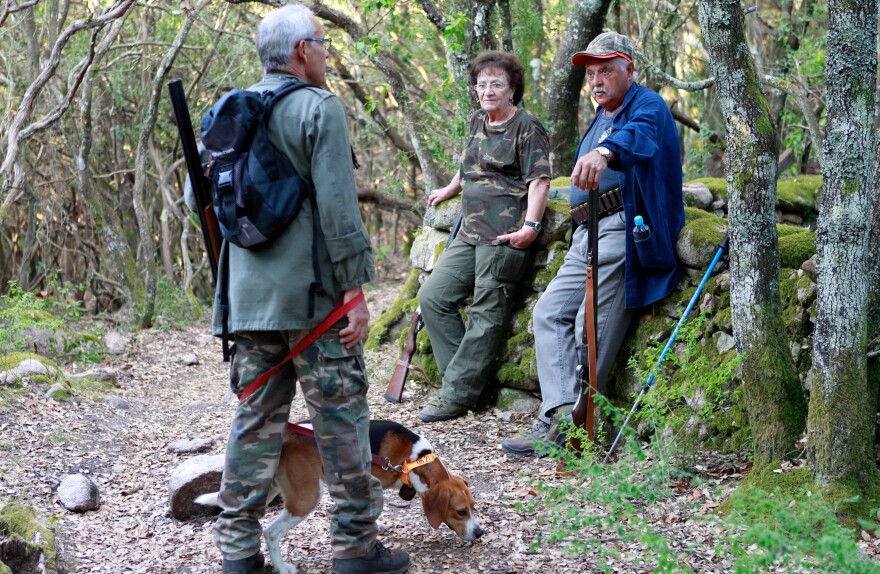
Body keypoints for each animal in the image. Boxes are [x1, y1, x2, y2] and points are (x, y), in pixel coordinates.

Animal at [195, 420, 482, 572]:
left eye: (473, 507)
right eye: (460, 512)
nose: (479, 533)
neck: (413, 459)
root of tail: (285, 439)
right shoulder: (369, 481)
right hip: (306, 498)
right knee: (271, 532)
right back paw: (282, 567)